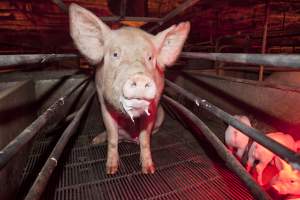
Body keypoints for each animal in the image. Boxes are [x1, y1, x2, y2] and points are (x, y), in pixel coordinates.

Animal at [69, 3, 190, 174]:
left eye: (150, 57)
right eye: (115, 54)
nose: (139, 77)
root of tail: (128, 139)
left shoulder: (154, 106)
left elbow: (145, 137)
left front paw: (149, 170)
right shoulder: (102, 101)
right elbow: (112, 136)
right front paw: (111, 170)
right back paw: (95, 141)